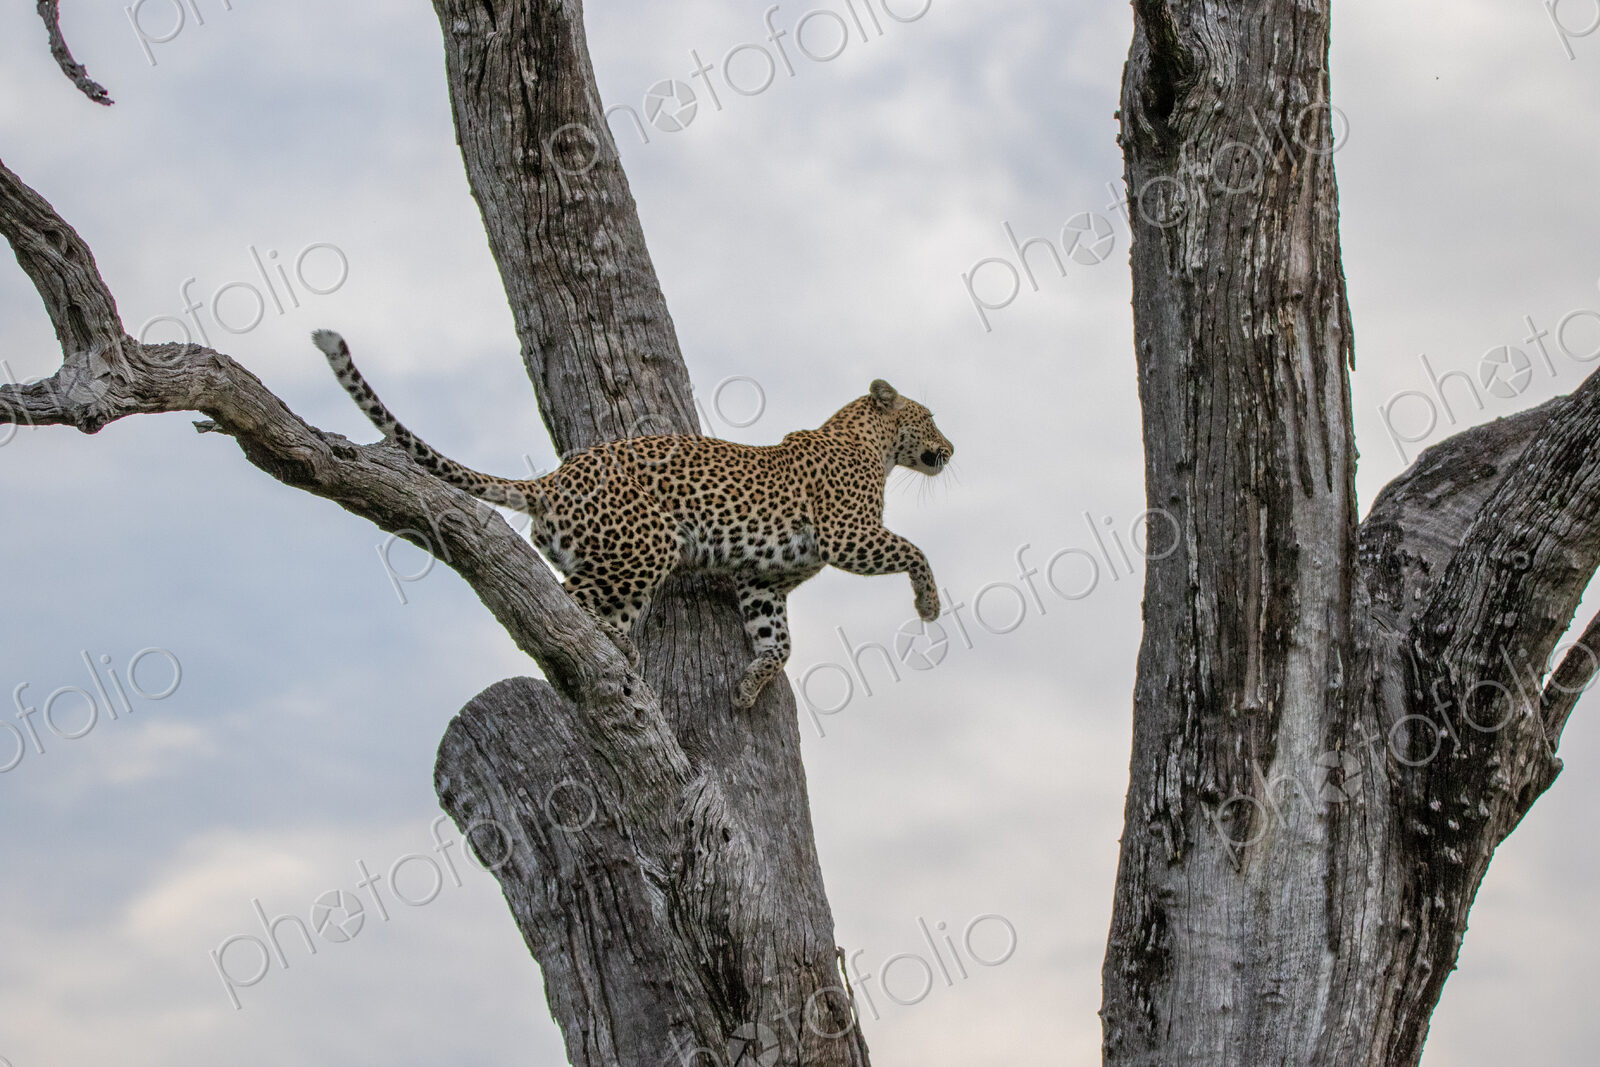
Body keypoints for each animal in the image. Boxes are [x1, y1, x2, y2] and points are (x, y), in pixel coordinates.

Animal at [312, 330, 954, 708]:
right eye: (929, 419)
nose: (950, 450)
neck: (872, 444)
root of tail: (553, 479)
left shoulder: (762, 579)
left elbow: (780, 643)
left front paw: (750, 686)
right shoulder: (848, 536)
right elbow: (916, 550)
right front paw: (928, 605)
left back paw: (625, 660)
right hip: (645, 547)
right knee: (557, 603)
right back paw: (610, 655)